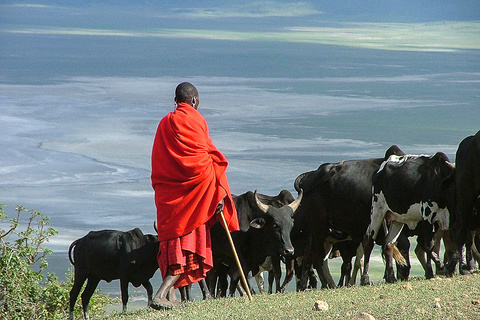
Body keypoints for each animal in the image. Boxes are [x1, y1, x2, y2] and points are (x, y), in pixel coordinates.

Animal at [362, 152, 456, 284]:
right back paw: (365, 279)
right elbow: (429, 245)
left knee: (389, 244)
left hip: (396, 219)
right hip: (377, 210)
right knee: (369, 240)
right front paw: (431, 272)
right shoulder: (427, 215)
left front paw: (448, 268)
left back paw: (391, 277)